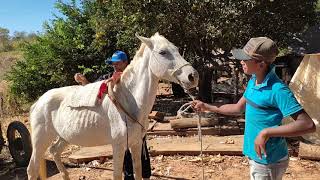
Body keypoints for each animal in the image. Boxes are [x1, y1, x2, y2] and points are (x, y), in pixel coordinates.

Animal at [27, 32, 199, 180]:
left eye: (177, 49)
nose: (193, 76)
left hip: (63, 136)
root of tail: (38, 101)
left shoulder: (136, 144)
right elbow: (117, 175)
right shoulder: (118, 146)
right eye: (163, 52)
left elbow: (138, 172)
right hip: (40, 139)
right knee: (32, 168)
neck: (128, 101)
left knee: (54, 151)